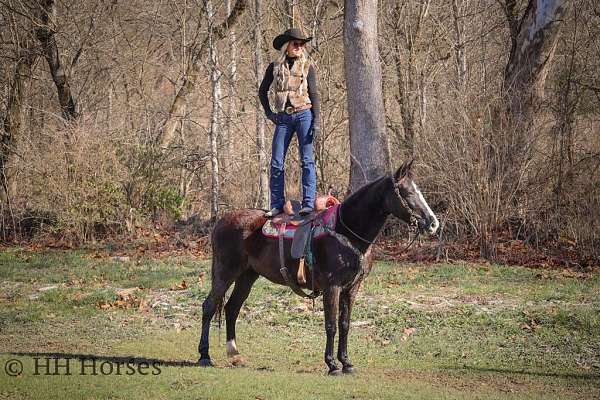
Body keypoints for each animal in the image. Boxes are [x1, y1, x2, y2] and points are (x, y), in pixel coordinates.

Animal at [199, 161, 438, 374]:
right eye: (407, 192)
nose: (433, 223)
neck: (346, 231)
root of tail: (222, 221)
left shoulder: (352, 288)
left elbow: (344, 324)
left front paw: (346, 363)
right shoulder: (332, 287)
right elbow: (331, 325)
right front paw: (332, 365)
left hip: (247, 276)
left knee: (232, 308)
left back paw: (234, 354)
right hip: (225, 272)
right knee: (209, 306)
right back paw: (204, 356)